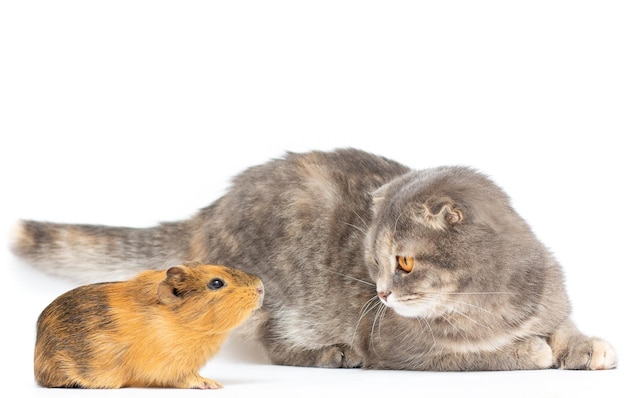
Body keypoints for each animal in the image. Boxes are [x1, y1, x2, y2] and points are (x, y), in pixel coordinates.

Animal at [9, 148, 616, 370]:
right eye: (376, 264)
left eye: (404, 263)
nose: (381, 294)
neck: (490, 302)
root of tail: (214, 210)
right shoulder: (400, 345)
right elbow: (475, 355)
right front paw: (530, 352)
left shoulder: (552, 302)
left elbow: (566, 327)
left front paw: (587, 346)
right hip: (274, 288)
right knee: (275, 342)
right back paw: (329, 353)